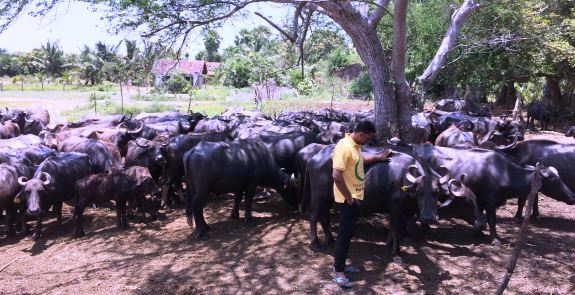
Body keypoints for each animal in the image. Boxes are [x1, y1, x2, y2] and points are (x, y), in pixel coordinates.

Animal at [416, 145, 572, 245]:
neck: (504, 173)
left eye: (558, 176)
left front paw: (477, 232)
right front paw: (495, 239)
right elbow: (492, 220)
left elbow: (479, 216)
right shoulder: (490, 202)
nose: (572, 196)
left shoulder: (480, 201)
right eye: (554, 180)